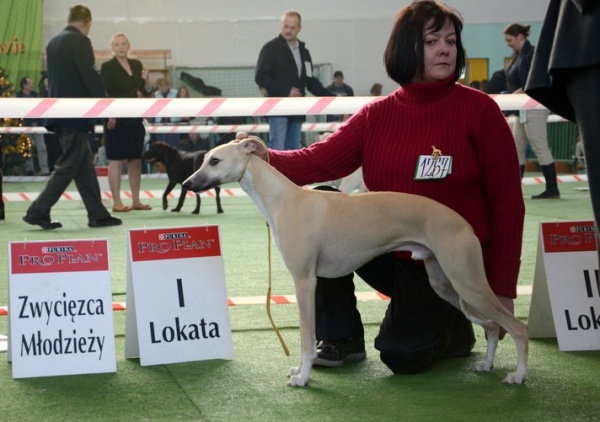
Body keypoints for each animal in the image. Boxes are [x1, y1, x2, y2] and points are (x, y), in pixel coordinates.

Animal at [184, 138, 528, 386]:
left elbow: (307, 337)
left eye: (214, 160)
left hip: (468, 282)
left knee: (516, 326)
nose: (187, 184)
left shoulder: (304, 282)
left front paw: (303, 377)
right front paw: (299, 371)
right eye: (204, 159)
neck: (285, 200)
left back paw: (519, 375)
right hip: (446, 283)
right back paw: (486, 364)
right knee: (491, 325)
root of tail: (464, 224)